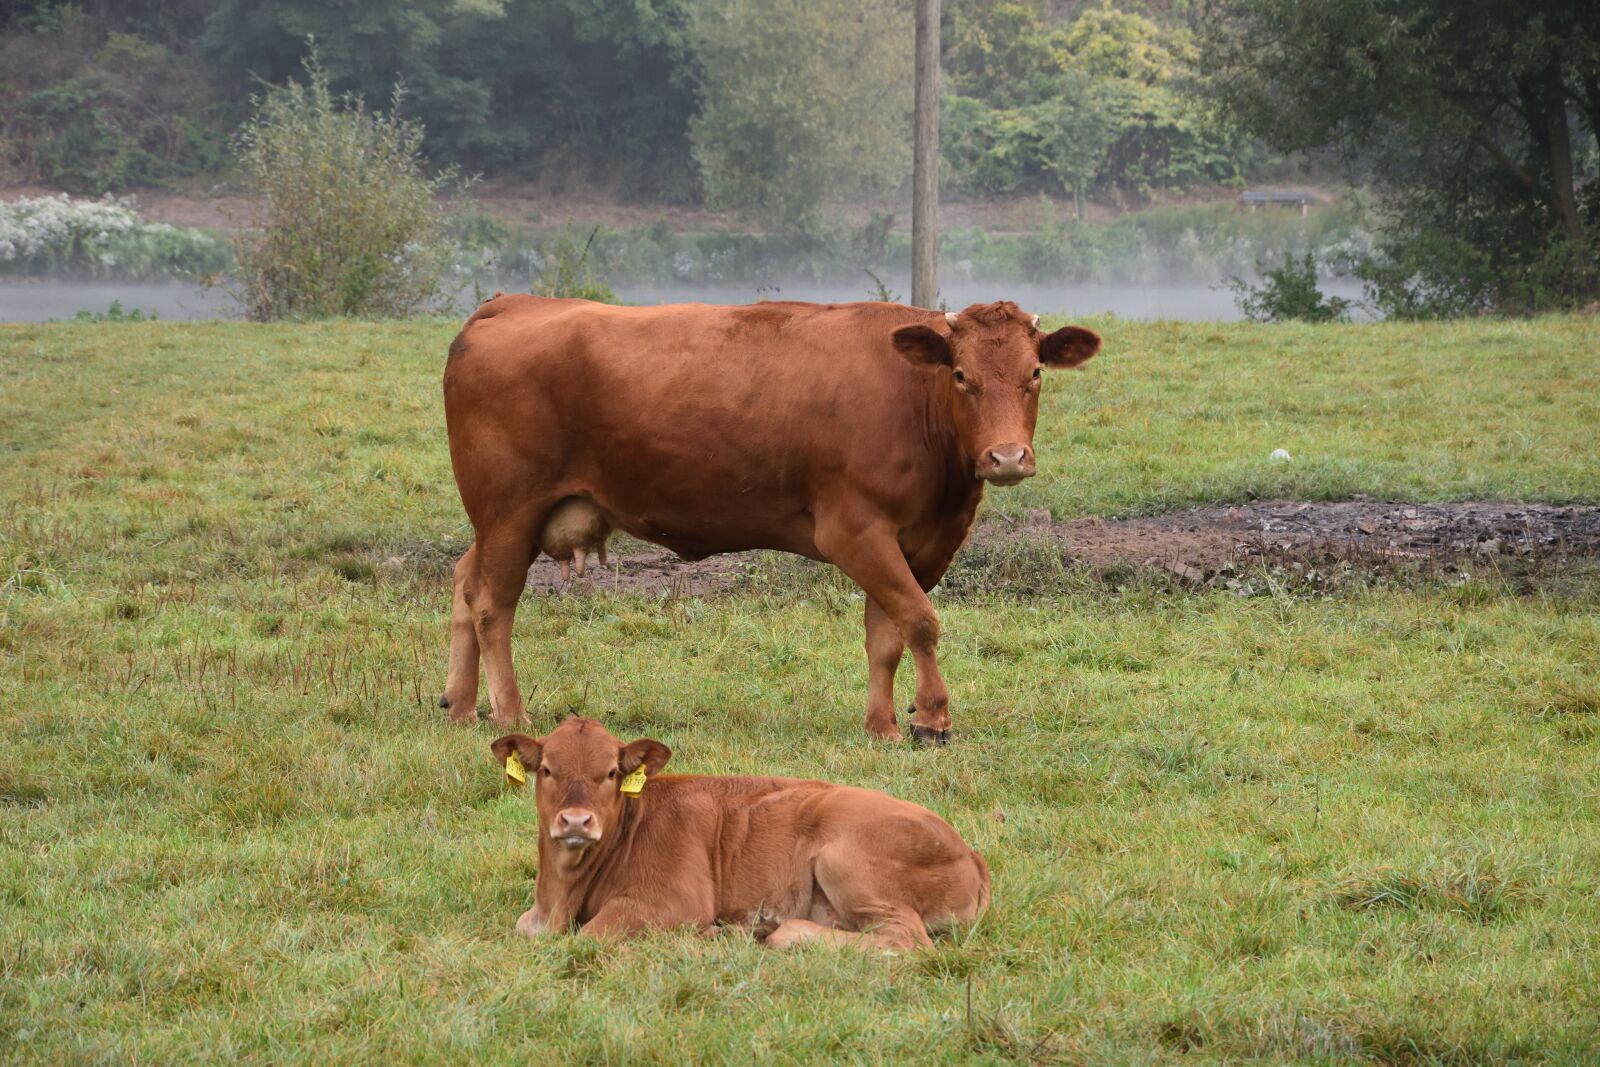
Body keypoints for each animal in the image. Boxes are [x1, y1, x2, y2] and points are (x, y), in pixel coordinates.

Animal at [442, 296, 1101, 742]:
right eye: (961, 376)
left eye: (1034, 374)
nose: (1007, 457)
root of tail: (509, 304)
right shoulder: (854, 530)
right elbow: (919, 621)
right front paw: (932, 717)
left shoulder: (914, 542)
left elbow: (885, 635)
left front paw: (883, 725)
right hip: (509, 511)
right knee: (492, 605)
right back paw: (511, 711)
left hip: (503, 524)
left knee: (465, 581)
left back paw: (463, 704)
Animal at [491, 717, 990, 948]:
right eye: (547, 770)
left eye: (611, 773)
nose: (576, 821)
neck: (564, 894)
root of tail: (969, 852)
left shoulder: (676, 901)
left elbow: (592, 935)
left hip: (846, 863)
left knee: (905, 939)